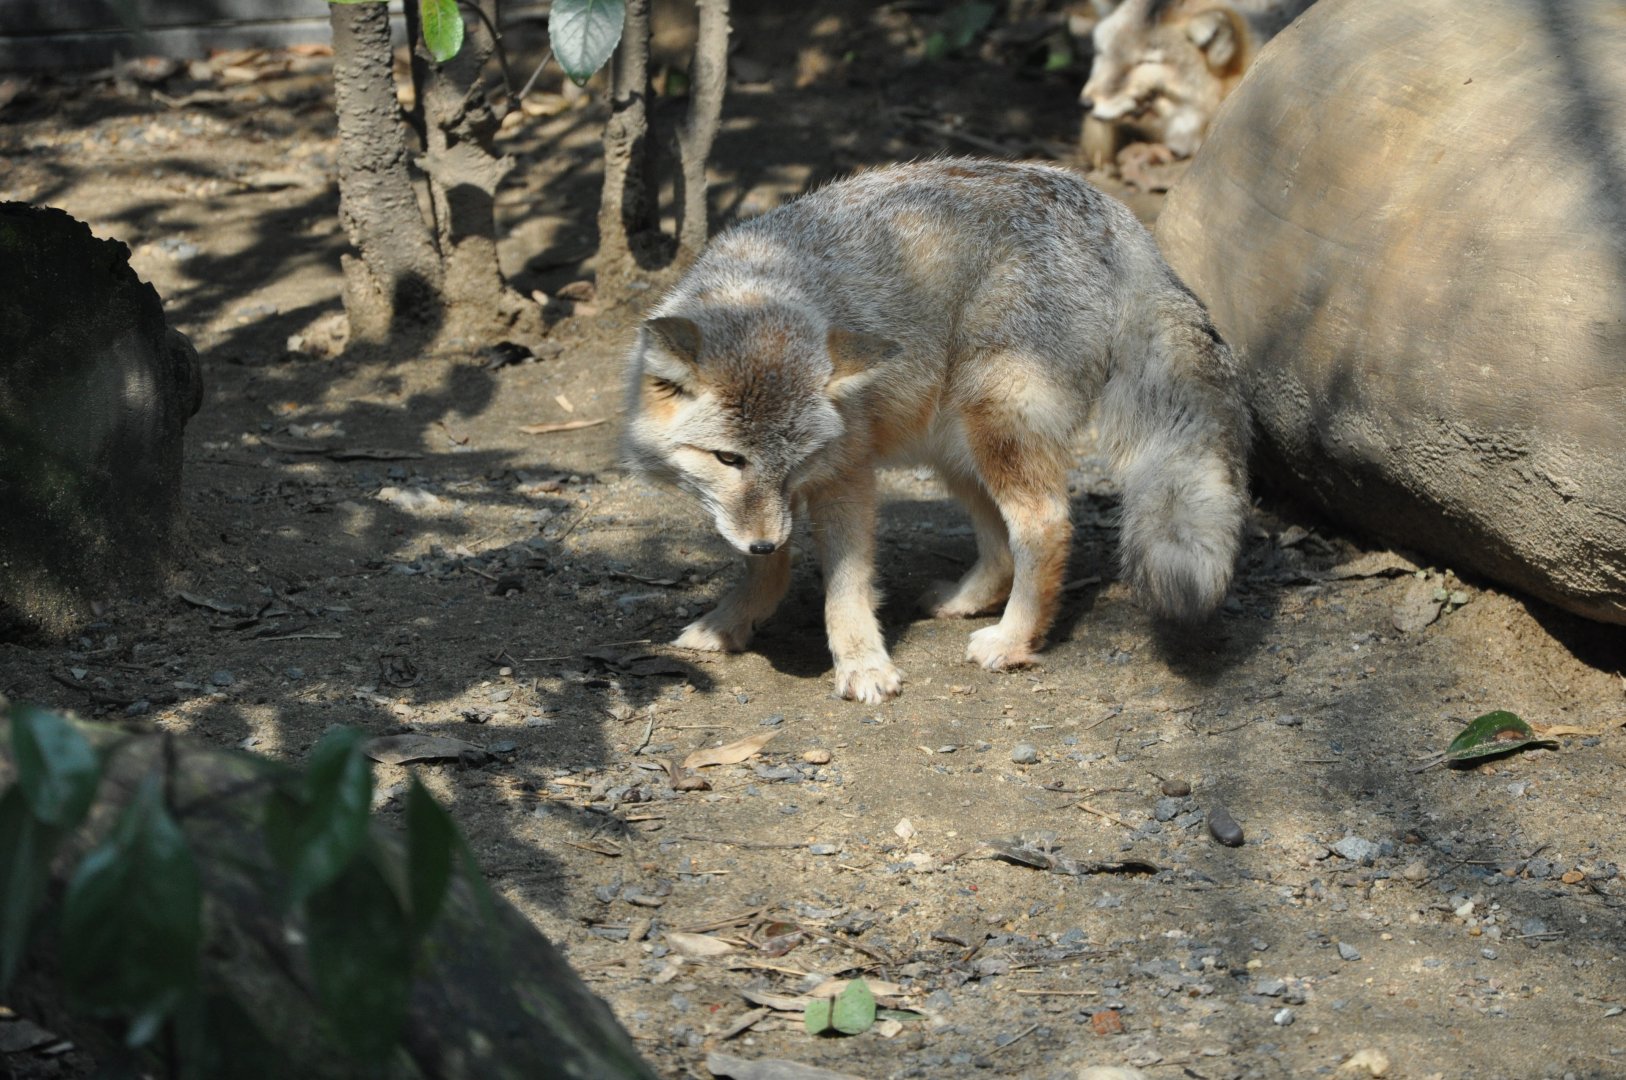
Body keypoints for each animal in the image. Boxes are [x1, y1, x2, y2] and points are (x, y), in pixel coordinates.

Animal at [622, 159, 1249, 704]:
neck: (766, 283)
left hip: (994, 432)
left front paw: (862, 665)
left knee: (1044, 525)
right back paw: (966, 601)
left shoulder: (845, 477)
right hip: (956, 448)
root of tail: (1113, 213)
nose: (764, 541)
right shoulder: (765, 510)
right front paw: (732, 622)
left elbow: (845, 588)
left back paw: (1013, 640)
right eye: (729, 460)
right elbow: (765, 566)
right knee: (999, 543)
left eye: (795, 460)